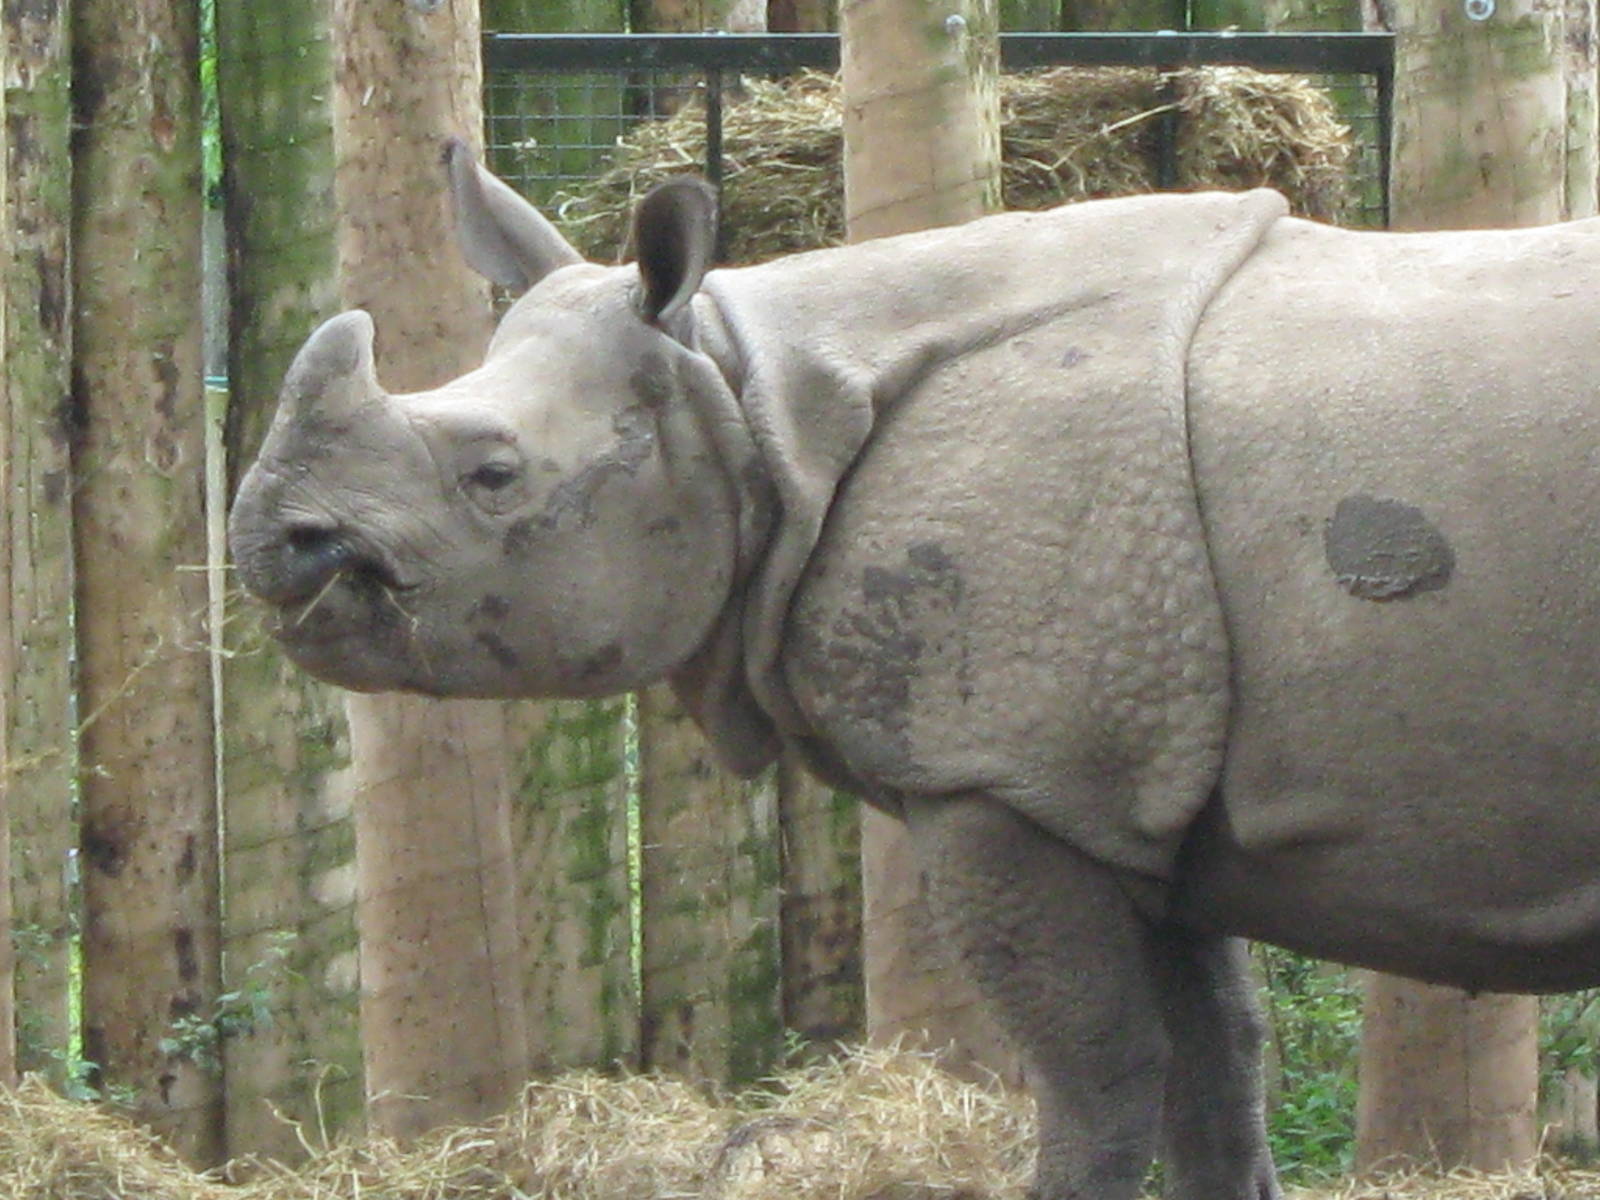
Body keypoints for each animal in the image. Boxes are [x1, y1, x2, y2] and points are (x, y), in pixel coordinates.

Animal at [229, 139, 1600, 1200]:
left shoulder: (1002, 774)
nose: (276, 542)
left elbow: (1099, 1070)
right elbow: (1217, 1068)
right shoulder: (1131, 785)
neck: (747, 402)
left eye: (495, 474)